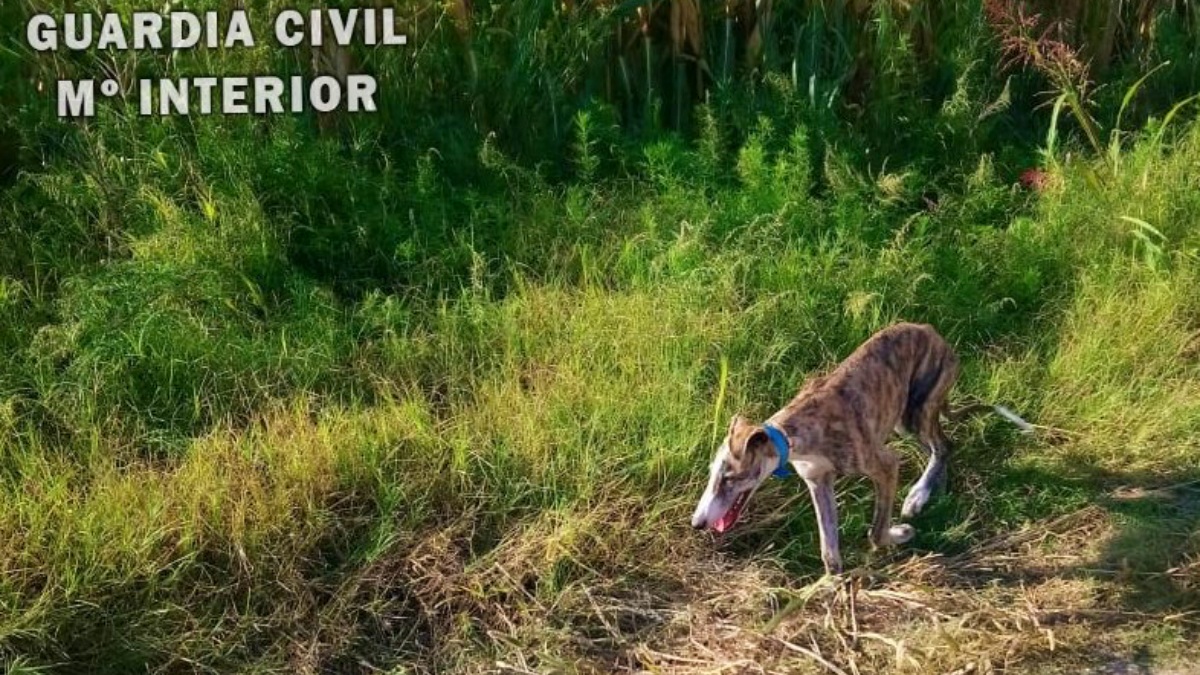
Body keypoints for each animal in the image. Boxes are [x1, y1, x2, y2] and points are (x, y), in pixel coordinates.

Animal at [691, 321, 1036, 571]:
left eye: (729, 479)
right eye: (712, 475)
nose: (697, 524)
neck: (793, 432)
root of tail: (932, 333)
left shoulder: (884, 465)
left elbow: (876, 531)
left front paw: (901, 534)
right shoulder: (818, 481)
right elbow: (829, 550)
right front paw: (832, 591)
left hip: (917, 411)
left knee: (944, 446)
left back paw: (918, 495)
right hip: (904, 418)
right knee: (938, 448)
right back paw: (930, 490)